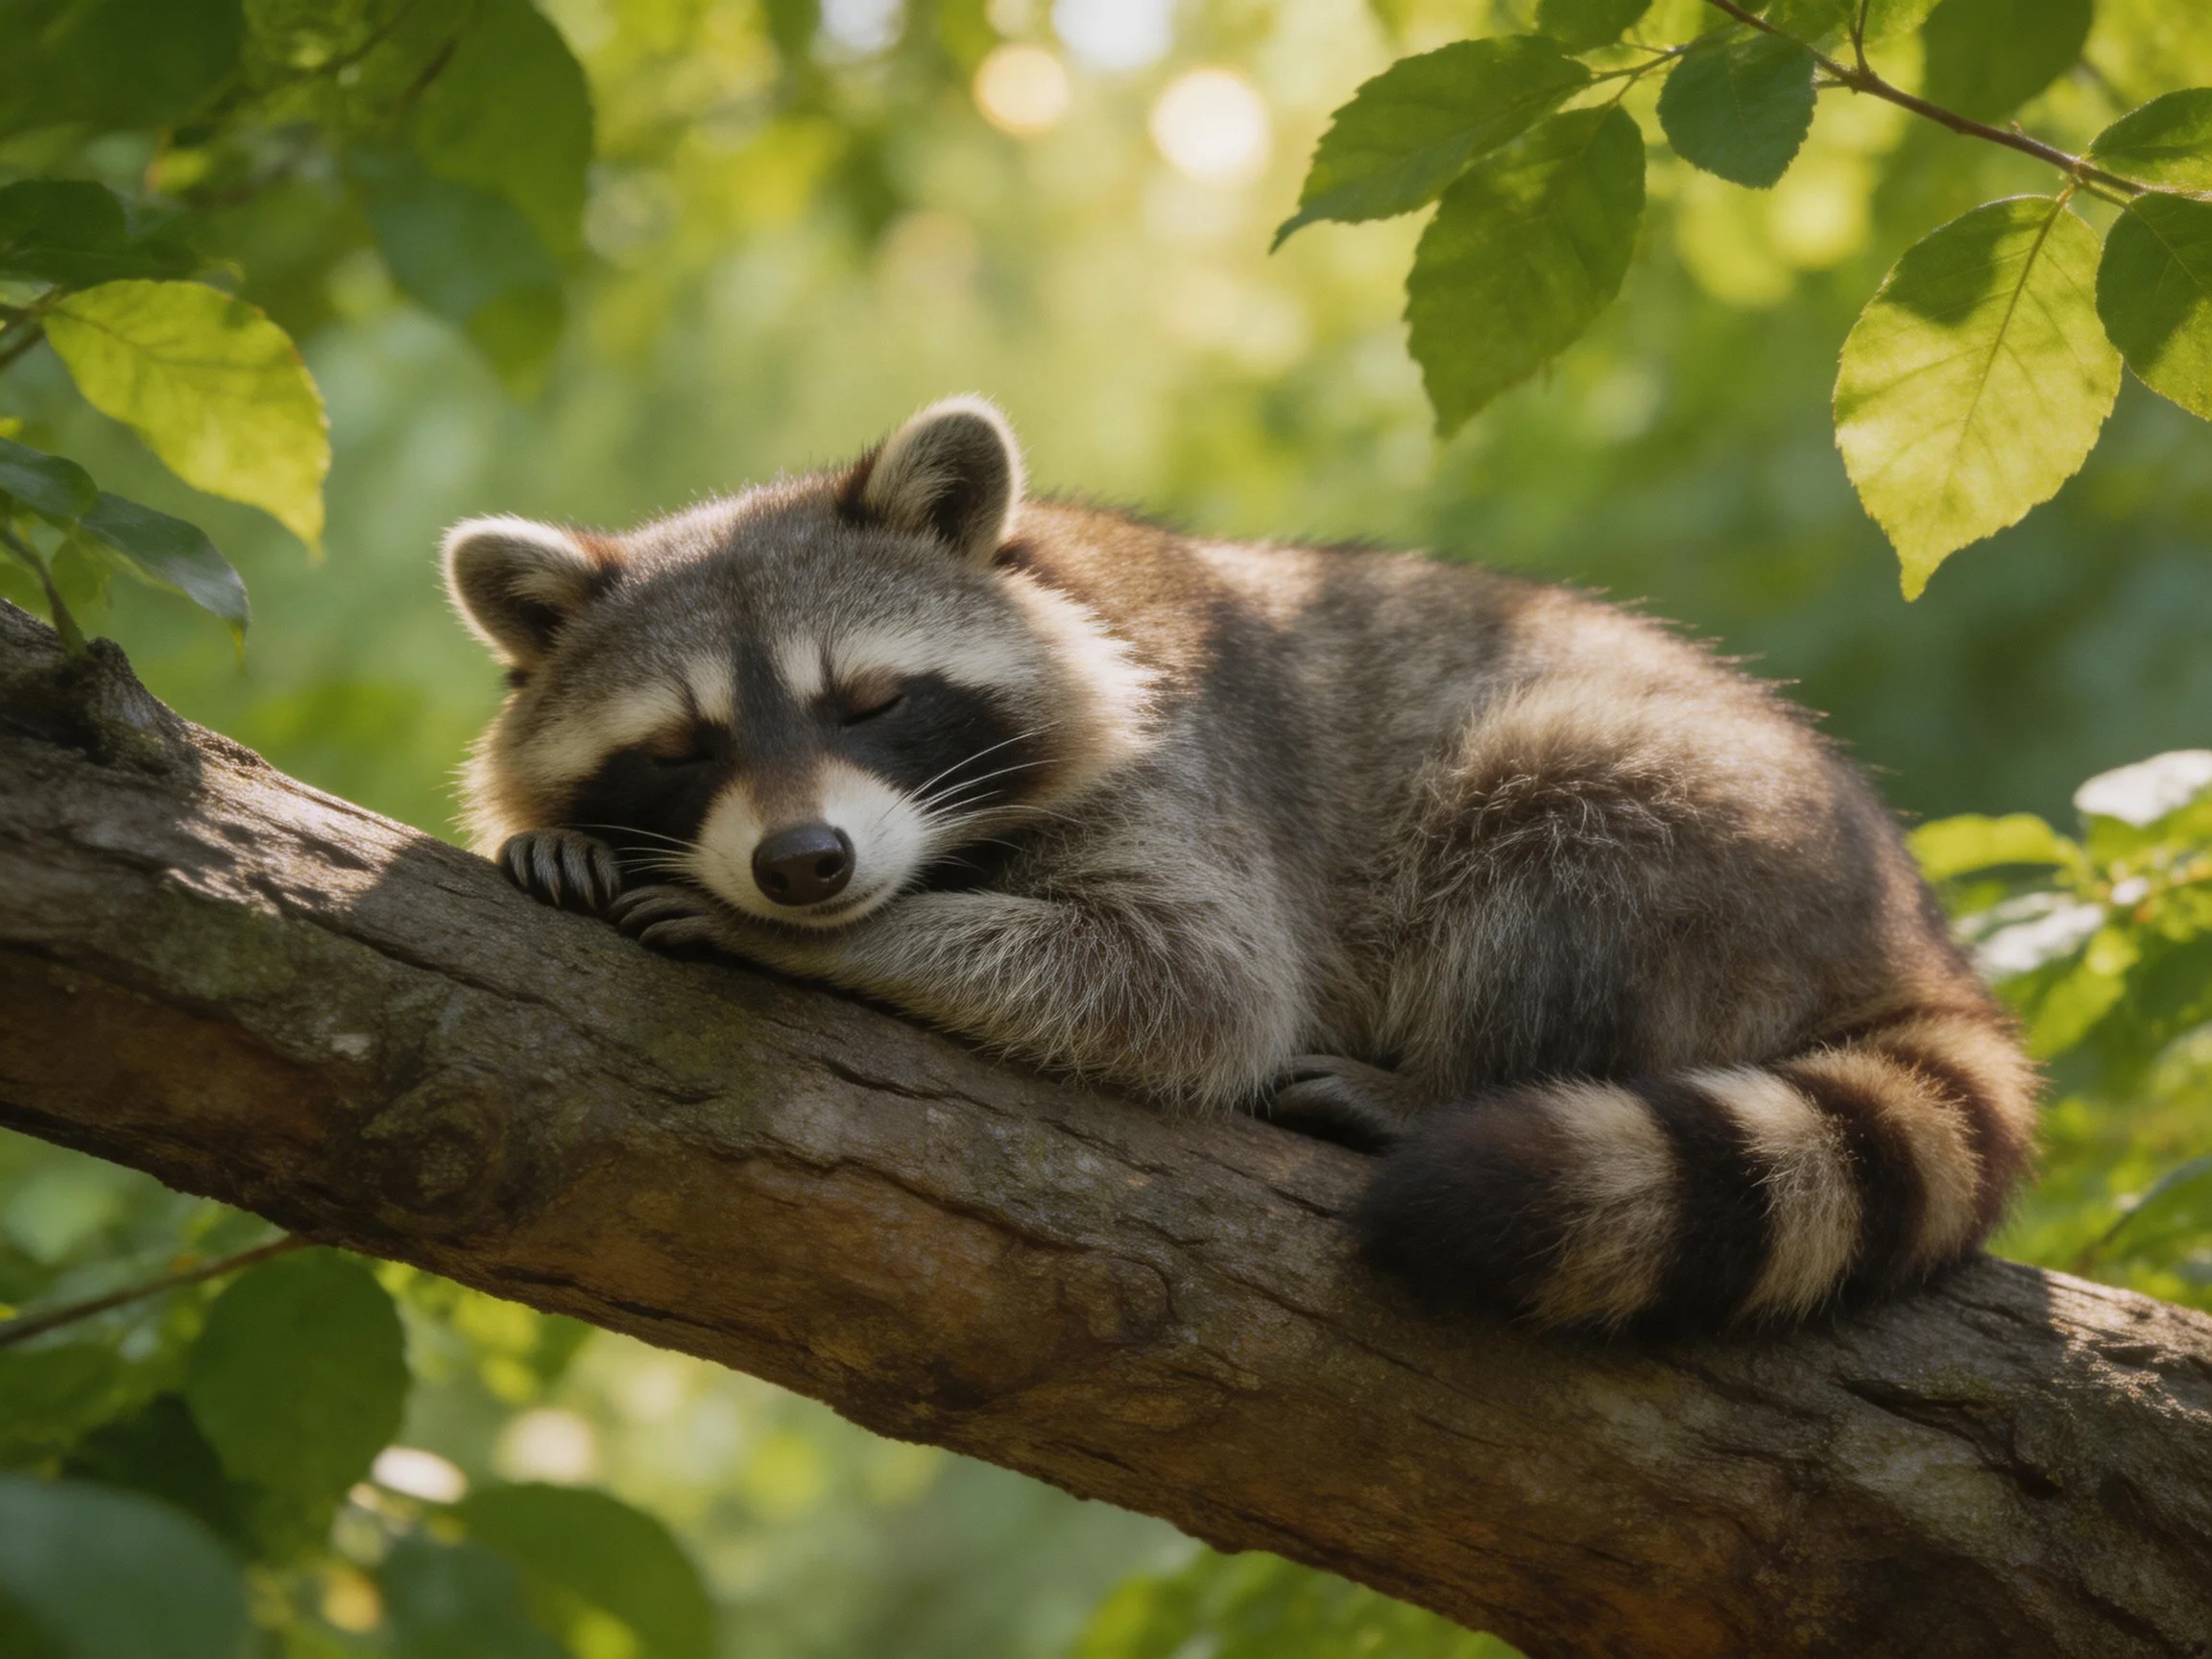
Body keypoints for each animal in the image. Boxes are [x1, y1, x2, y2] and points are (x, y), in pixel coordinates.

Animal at [445, 396, 2037, 1334]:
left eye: (872, 703)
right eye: (685, 747)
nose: (804, 867)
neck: (1041, 574)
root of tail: (1910, 931)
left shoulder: (1187, 771)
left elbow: (1189, 987)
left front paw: (808, 941)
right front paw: (569, 842)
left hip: (1706, 826)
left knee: (1555, 803)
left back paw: (1448, 1078)